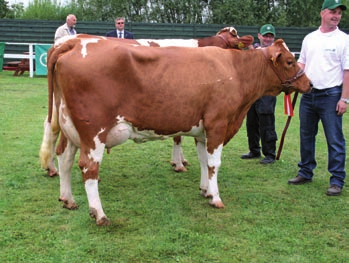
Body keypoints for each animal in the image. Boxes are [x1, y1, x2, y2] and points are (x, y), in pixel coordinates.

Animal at [39, 37, 312, 227]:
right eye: (290, 61)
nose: (308, 83)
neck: (235, 70)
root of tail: (76, 42)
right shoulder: (218, 124)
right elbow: (214, 163)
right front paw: (216, 198)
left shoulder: (203, 130)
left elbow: (203, 161)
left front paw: (205, 190)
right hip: (94, 131)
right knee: (88, 167)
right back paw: (99, 214)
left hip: (71, 128)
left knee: (64, 158)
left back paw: (68, 200)